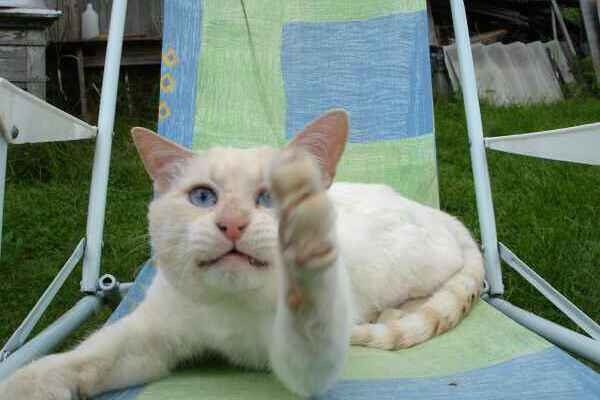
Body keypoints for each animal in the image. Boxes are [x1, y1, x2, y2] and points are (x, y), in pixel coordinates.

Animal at [0, 109, 484, 399]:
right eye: (202, 197)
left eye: (271, 198)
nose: (232, 224)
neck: (230, 309)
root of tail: (443, 213)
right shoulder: (147, 339)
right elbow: (83, 357)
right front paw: (26, 384)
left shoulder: (309, 366)